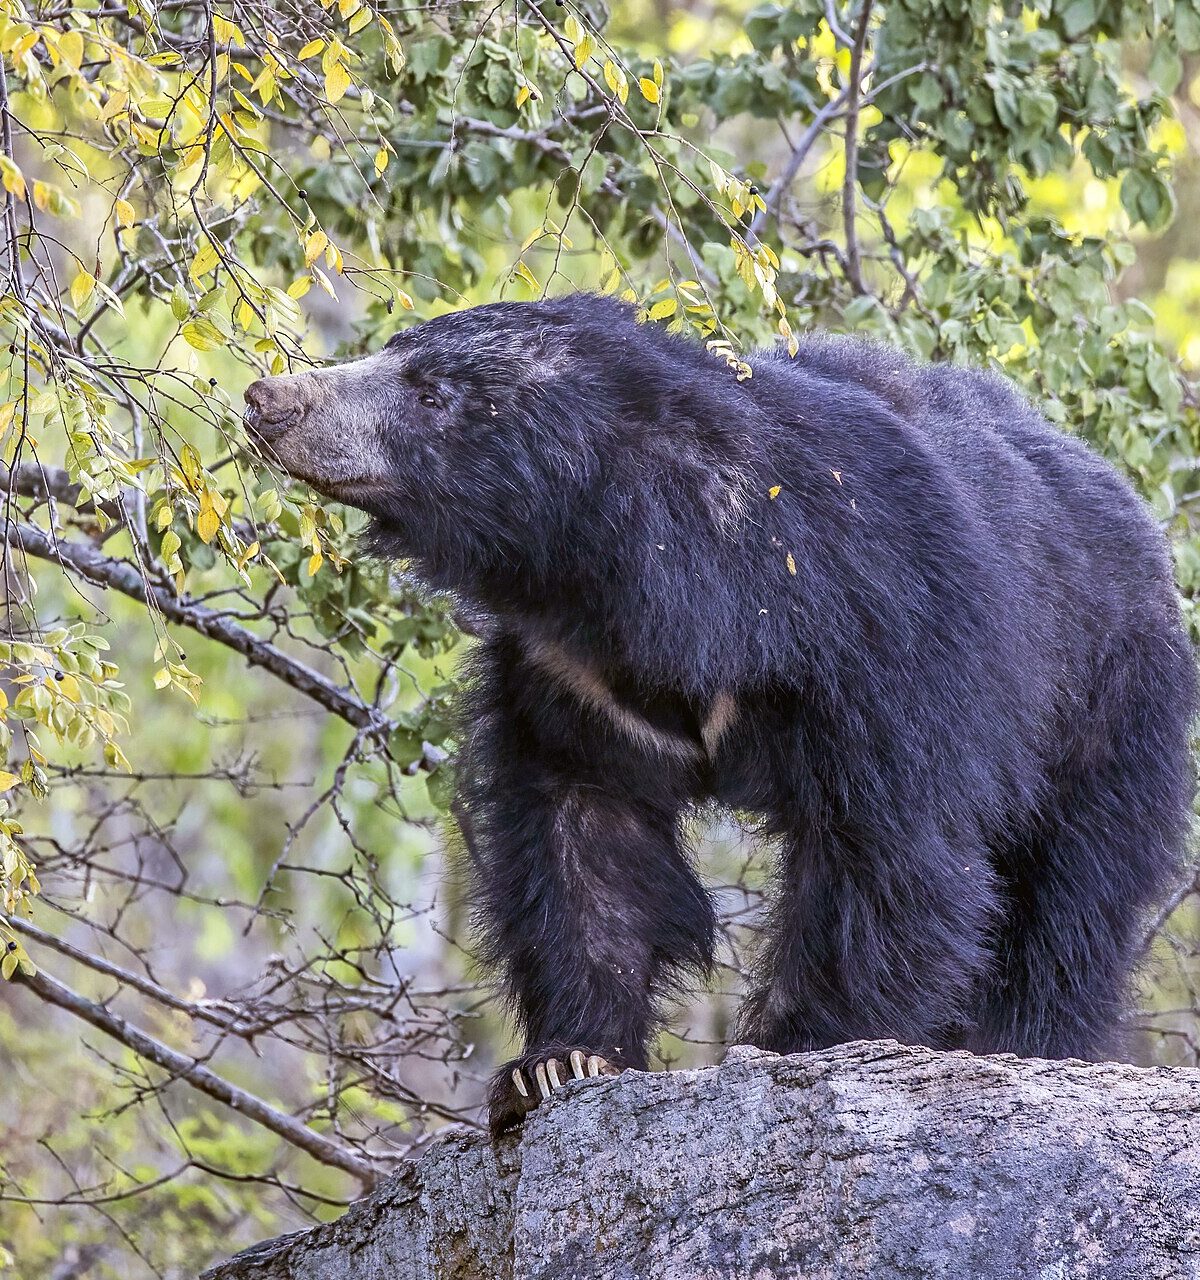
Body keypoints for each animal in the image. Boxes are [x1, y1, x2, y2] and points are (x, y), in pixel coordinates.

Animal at [244, 293, 1198, 1136]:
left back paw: (1031, 1041)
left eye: (432, 395)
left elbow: (887, 849)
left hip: (1109, 707)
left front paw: (798, 1043)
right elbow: (583, 836)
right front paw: (558, 1063)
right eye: (393, 352)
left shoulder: (881, 636)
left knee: (1071, 902)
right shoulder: (571, 677)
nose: (269, 398)